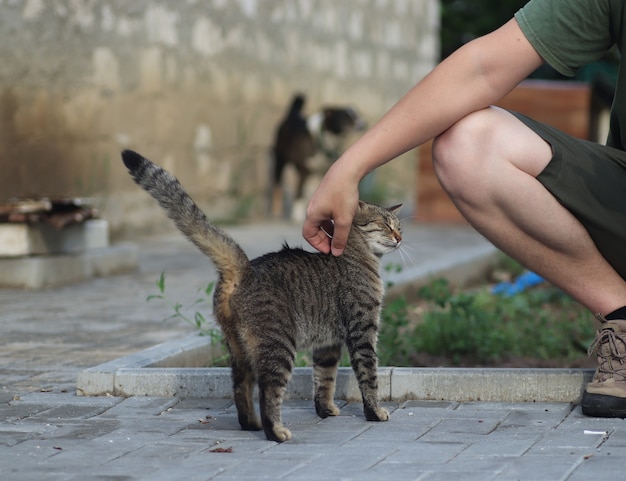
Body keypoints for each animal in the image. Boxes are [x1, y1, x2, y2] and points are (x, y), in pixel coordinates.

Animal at [122, 148, 400, 440]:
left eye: (399, 226)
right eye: (385, 224)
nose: (400, 237)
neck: (357, 255)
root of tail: (245, 268)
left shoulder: (328, 343)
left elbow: (324, 379)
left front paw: (326, 410)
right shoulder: (362, 330)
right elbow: (368, 375)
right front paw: (375, 412)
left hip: (239, 350)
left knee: (241, 389)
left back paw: (251, 424)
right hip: (279, 347)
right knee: (269, 393)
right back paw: (275, 431)